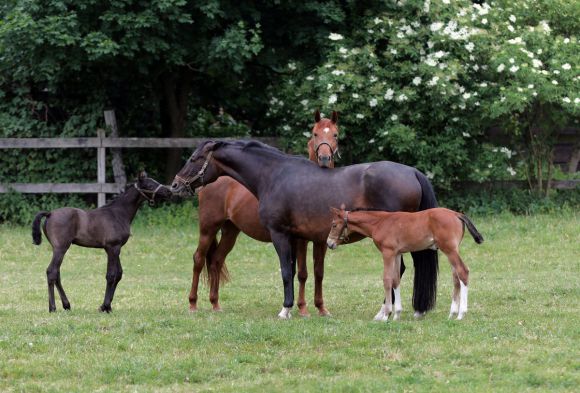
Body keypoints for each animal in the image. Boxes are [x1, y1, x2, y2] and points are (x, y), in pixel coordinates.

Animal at [30, 172, 170, 312]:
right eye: (150, 185)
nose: (168, 191)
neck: (118, 213)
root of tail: (50, 214)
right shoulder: (113, 247)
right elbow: (111, 275)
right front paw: (105, 306)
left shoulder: (115, 248)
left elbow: (119, 274)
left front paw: (106, 306)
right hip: (61, 248)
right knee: (51, 272)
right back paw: (52, 307)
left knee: (57, 273)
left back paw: (67, 305)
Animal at [172, 141, 440, 318]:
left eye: (194, 159)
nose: (175, 184)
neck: (274, 175)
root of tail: (412, 172)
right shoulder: (297, 238)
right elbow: (298, 272)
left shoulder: (280, 234)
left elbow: (286, 272)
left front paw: (285, 309)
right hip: (224, 230)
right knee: (211, 260)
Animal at [190, 110, 342, 316]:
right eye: (315, 134)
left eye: (335, 134)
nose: (325, 159)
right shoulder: (299, 240)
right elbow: (301, 273)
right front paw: (302, 308)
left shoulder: (320, 240)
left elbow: (318, 272)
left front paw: (321, 307)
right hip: (208, 228)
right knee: (198, 259)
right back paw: (193, 303)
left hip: (231, 231)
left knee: (216, 260)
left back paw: (215, 304)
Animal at [326, 207, 484, 320]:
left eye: (334, 225)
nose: (329, 243)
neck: (380, 223)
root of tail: (457, 214)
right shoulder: (397, 254)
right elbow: (396, 280)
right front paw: (397, 314)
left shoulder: (388, 253)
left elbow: (387, 280)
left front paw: (386, 315)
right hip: (451, 250)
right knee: (456, 278)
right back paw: (452, 313)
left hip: (449, 249)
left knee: (463, 271)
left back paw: (461, 314)